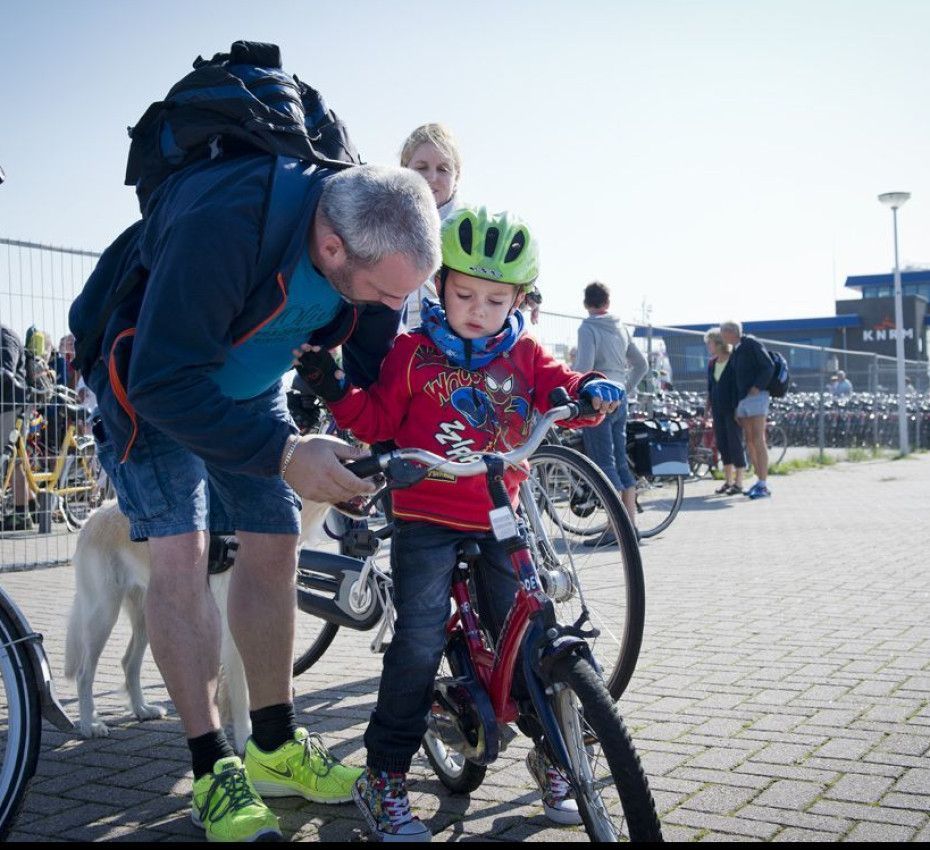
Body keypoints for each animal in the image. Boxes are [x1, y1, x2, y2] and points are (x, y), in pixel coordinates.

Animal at [62, 496, 330, 748]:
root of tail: (94, 515)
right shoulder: (232, 634)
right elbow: (242, 695)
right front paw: (247, 742)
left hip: (150, 616)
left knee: (129, 662)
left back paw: (142, 709)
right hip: (102, 613)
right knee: (84, 673)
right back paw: (90, 724)